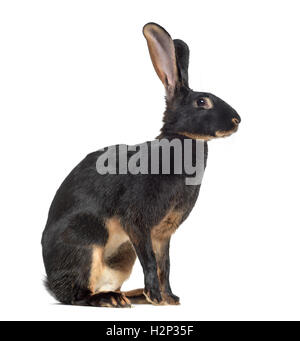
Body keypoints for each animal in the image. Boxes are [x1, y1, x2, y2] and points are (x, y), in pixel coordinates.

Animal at [41, 22, 241, 306]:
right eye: (202, 102)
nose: (237, 120)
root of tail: (51, 283)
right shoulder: (137, 221)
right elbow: (150, 261)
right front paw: (156, 296)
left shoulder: (162, 234)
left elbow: (164, 264)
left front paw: (169, 298)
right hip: (88, 242)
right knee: (77, 294)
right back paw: (111, 299)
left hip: (122, 258)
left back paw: (131, 295)